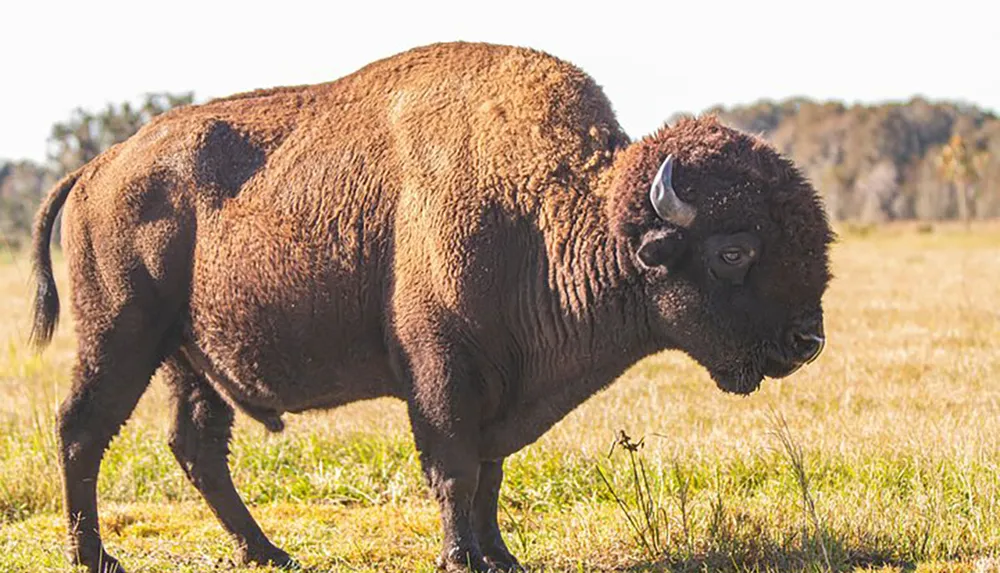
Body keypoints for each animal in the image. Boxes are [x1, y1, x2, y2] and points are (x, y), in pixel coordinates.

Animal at [29, 41, 828, 572]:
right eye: (734, 252)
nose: (808, 341)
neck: (550, 214)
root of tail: (98, 166)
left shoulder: (501, 387)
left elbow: (490, 475)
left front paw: (500, 556)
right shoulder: (442, 373)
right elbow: (455, 470)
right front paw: (461, 558)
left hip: (187, 360)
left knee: (196, 446)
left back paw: (268, 551)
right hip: (121, 337)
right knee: (82, 429)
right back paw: (96, 558)